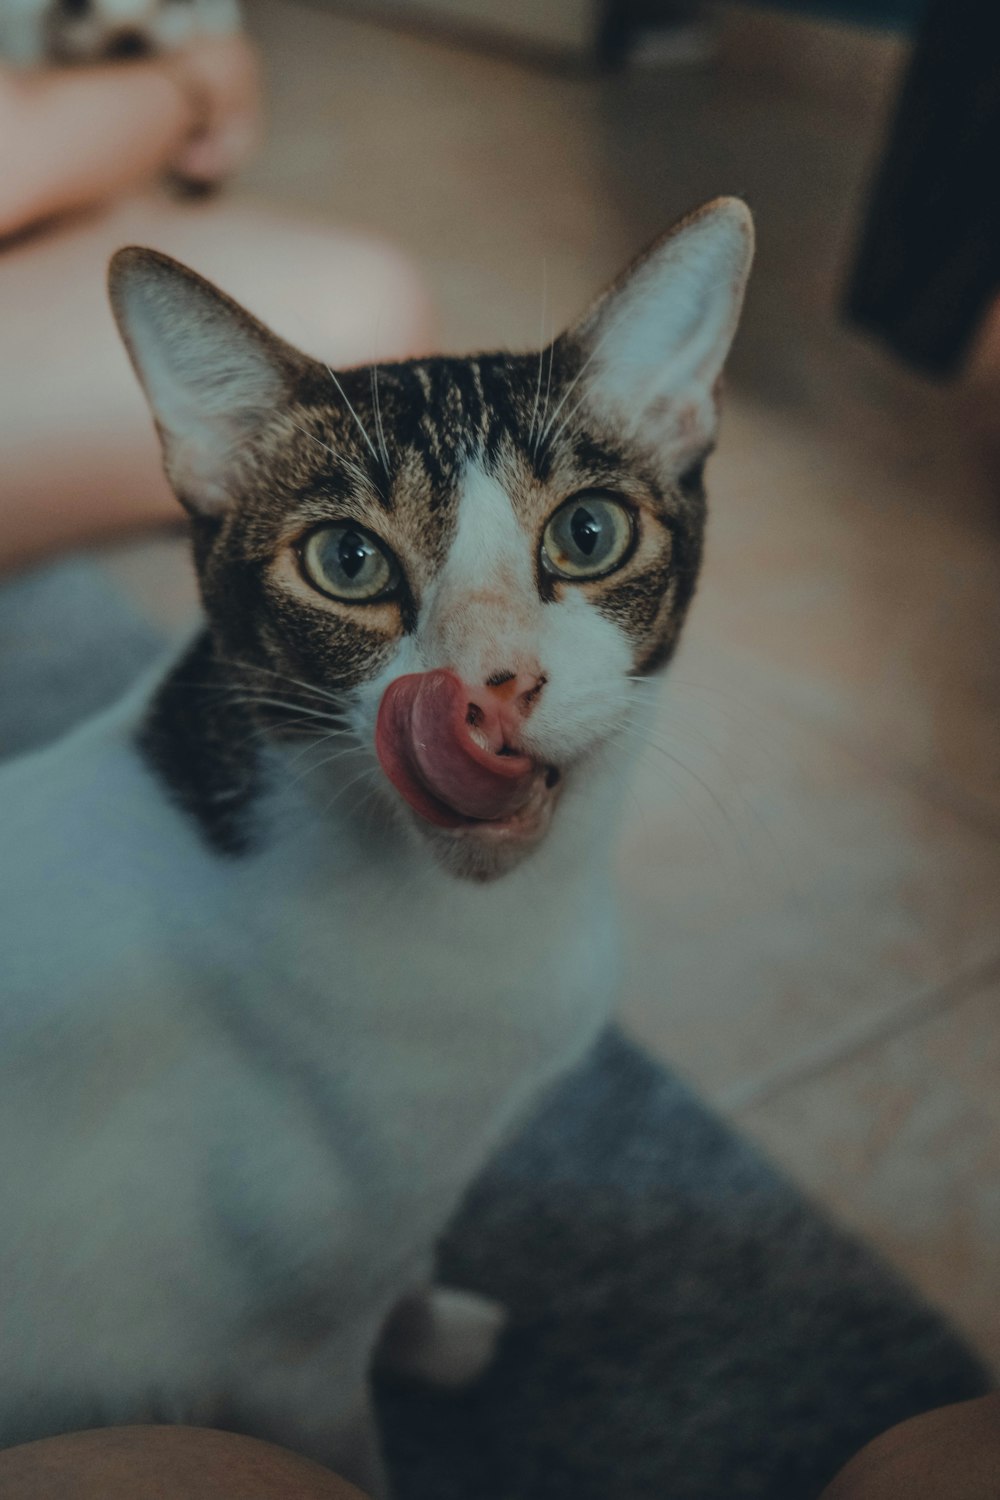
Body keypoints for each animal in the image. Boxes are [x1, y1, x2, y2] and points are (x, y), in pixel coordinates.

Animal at [0, 196, 749, 1488]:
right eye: (346, 561)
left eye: (589, 532)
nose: (492, 684)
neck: (492, 915)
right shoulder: (284, 1368)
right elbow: (340, 1435)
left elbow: (402, 1269)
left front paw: (429, 1331)